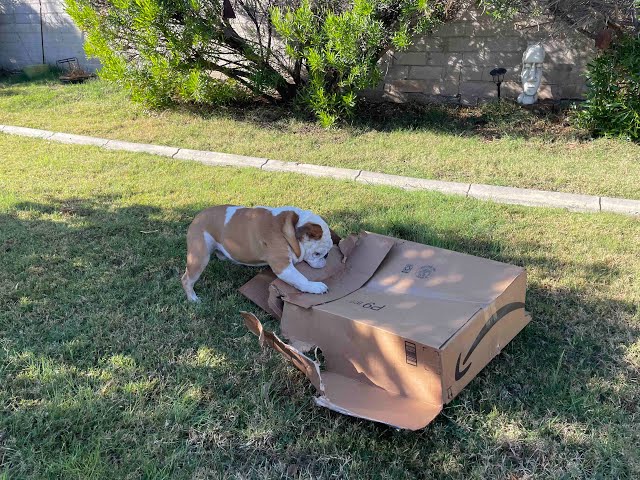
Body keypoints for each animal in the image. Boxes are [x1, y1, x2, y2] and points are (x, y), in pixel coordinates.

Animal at [181, 205, 340, 302]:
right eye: (318, 254)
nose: (326, 258)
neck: (292, 229)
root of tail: (197, 217)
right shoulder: (283, 267)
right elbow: (301, 279)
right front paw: (316, 287)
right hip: (199, 257)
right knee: (186, 279)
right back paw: (193, 298)